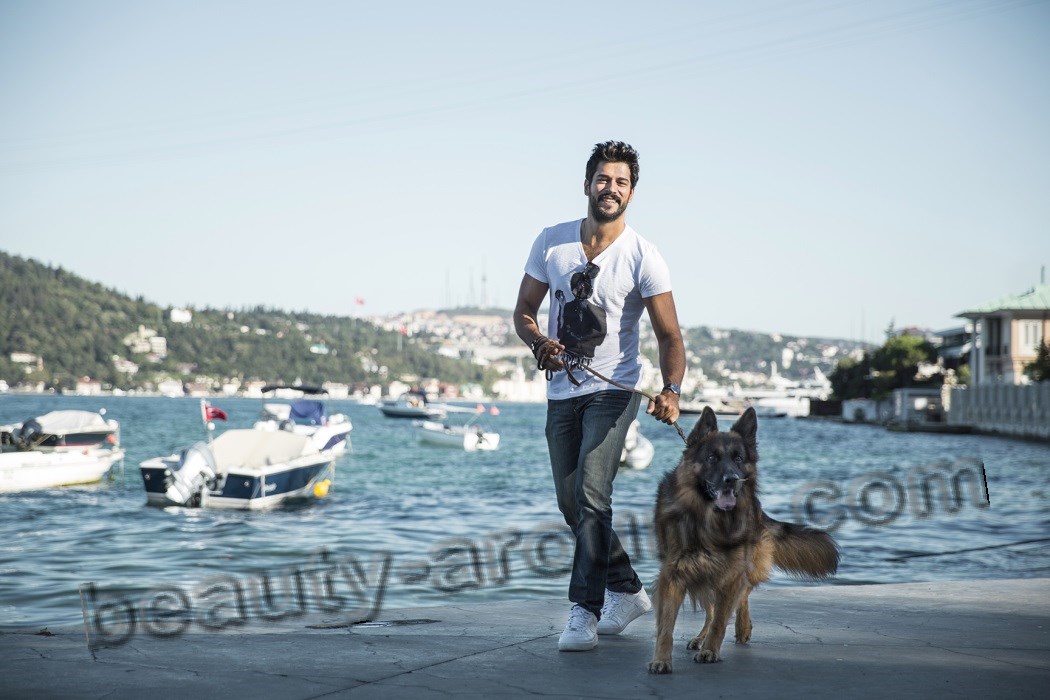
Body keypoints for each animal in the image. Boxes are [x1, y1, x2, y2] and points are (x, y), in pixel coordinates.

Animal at [646, 407, 835, 675]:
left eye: (738, 459)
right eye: (712, 458)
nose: (732, 479)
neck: (710, 520)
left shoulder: (731, 571)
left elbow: (721, 619)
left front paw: (711, 650)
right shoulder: (675, 573)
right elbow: (666, 625)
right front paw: (662, 659)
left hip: (742, 567)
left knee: (740, 595)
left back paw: (740, 628)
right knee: (713, 606)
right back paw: (701, 637)